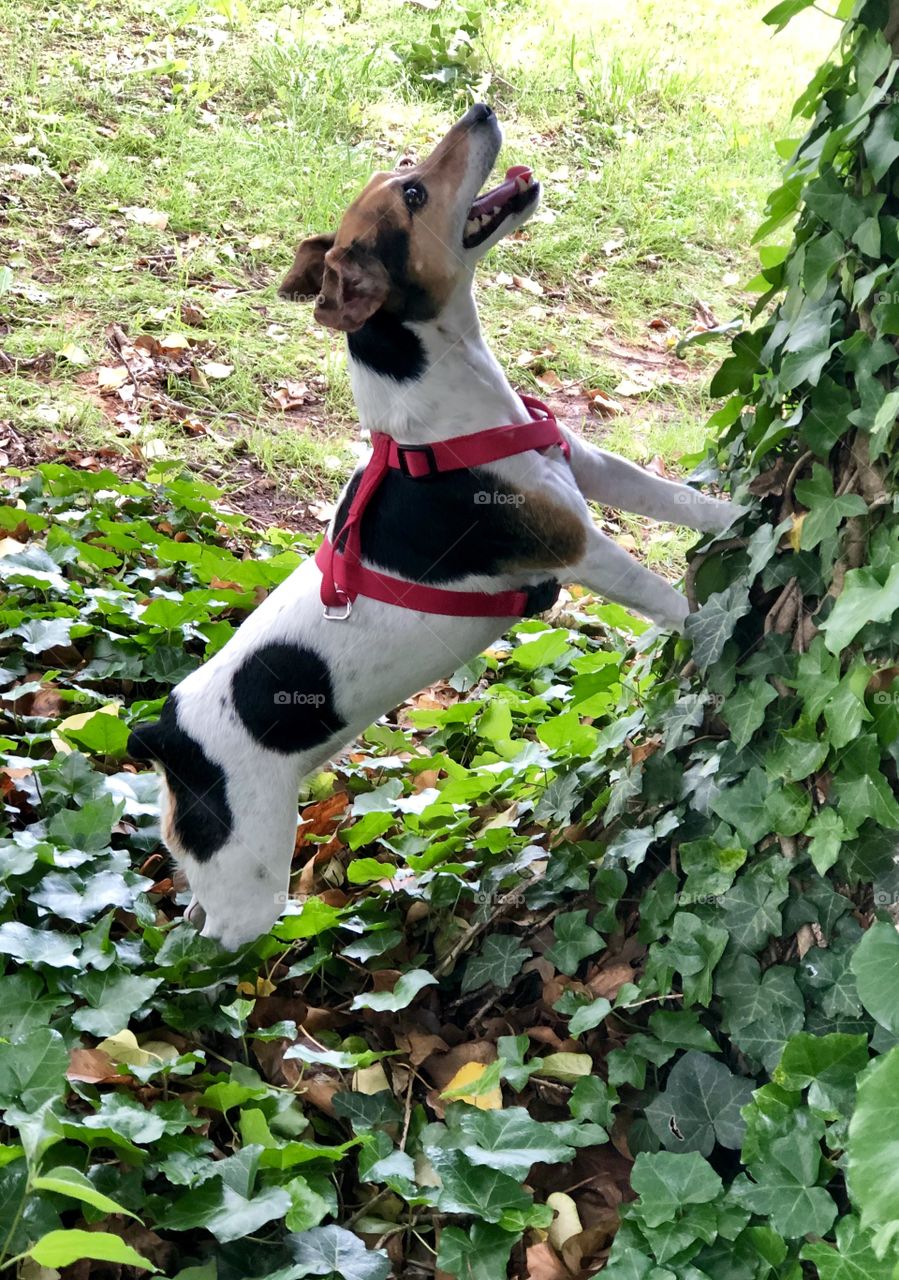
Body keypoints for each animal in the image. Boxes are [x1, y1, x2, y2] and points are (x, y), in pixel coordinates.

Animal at [128, 107, 747, 952]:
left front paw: (750, 511)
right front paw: (733, 615)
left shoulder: (586, 467)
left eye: (403, 168)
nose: (480, 110)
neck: (446, 417)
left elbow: (678, 500)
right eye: (415, 193)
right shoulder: (578, 547)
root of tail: (165, 733)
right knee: (201, 947)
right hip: (249, 889)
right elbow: (668, 600)